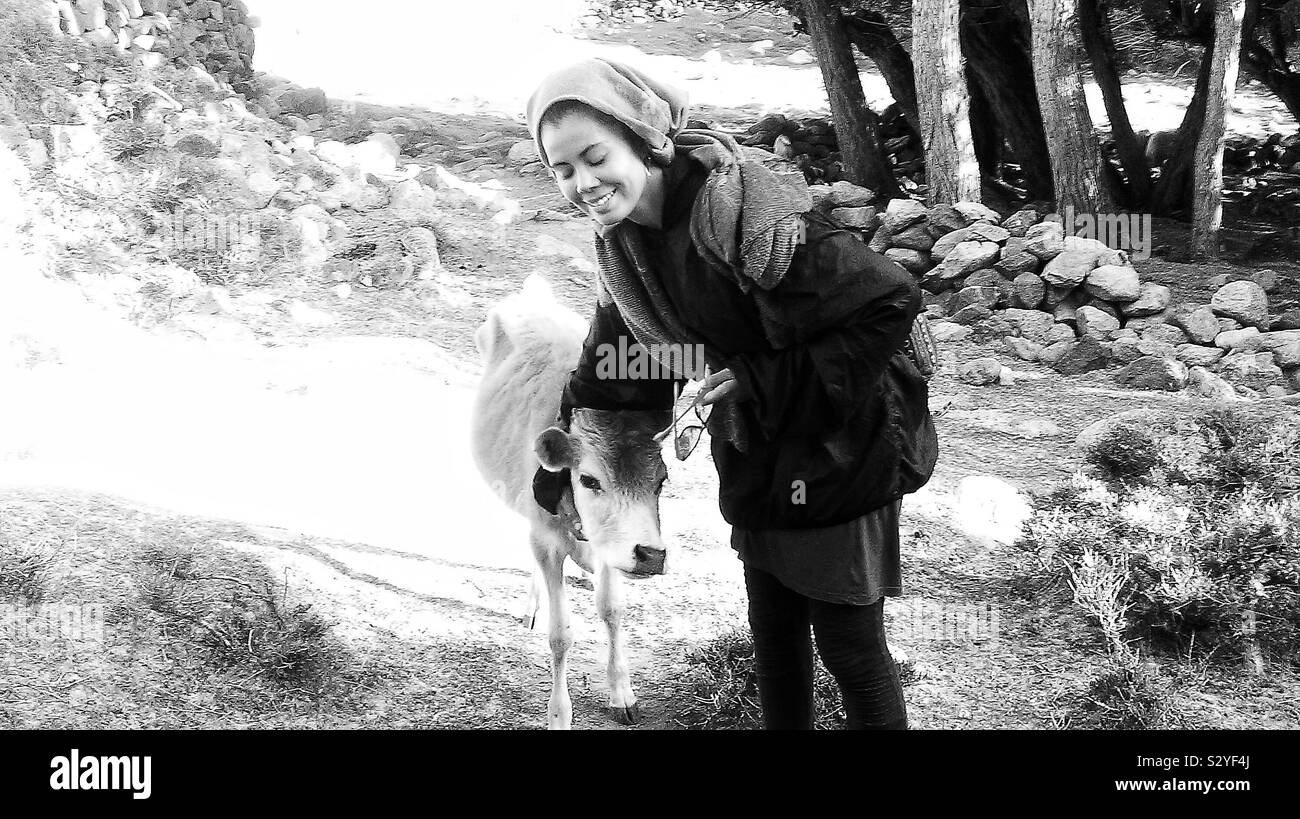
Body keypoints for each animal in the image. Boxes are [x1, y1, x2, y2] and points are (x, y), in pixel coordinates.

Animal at [470, 275, 670, 733]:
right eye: (589, 480)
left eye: (661, 481)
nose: (651, 554)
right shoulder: (546, 539)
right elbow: (561, 634)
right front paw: (559, 714)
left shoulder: (609, 544)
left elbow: (612, 609)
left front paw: (621, 692)